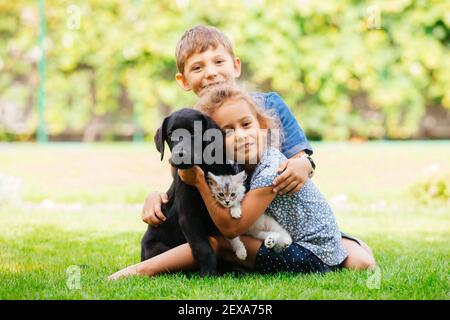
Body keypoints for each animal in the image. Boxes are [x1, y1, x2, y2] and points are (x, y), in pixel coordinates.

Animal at [142, 108, 237, 278]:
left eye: (195, 132)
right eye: (171, 133)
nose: (180, 155)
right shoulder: (189, 217)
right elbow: (203, 248)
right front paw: (208, 275)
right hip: (157, 248)